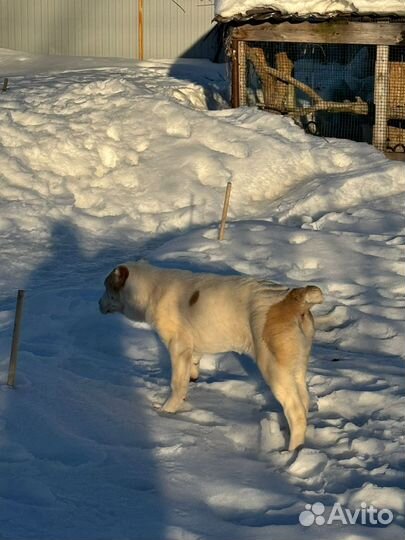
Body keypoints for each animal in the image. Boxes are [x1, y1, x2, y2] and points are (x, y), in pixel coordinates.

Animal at [98, 262, 322, 452]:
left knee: (296, 411)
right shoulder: (191, 350)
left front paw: (166, 411)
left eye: (107, 287)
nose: (98, 303)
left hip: (274, 369)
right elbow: (191, 369)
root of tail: (293, 297)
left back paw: (292, 452)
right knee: (303, 401)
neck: (153, 289)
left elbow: (177, 383)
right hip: (297, 367)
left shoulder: (178, 348)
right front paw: (191, 381)